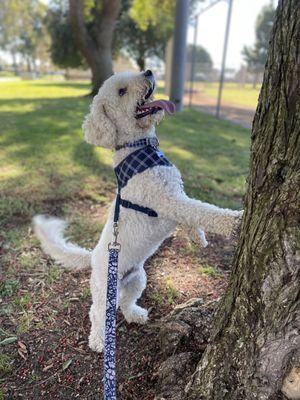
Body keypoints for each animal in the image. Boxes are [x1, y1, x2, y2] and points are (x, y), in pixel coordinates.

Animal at [34, 70, 243, 352]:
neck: (138, 147)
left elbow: (192, 213)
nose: (149, 71)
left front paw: (198, 236)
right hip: (104, 290)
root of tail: (92, 257)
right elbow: (202, 210)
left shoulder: (175, 196)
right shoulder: (168, 201)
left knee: (125, 302)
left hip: (137, 278)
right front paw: (234, 221)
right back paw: (98, 340)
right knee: (96, 312)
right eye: (121, 91)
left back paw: (135, 315)